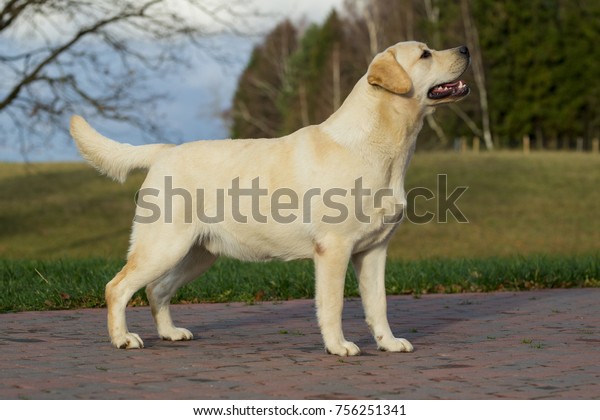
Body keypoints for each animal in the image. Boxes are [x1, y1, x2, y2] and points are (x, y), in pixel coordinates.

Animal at [70, 41, 472, 356]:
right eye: (425, 54)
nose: (466, 49)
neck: (383, 146)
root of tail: (164, 152)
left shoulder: (374, 251)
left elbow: (379, 304)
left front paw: (388, 342)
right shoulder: (334, 248)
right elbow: (333, 304)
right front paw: (338, 346)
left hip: (197, 253)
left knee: (157, 289)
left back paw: (170, 333)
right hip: (163, 246)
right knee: (118, 287)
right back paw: (123, 339)